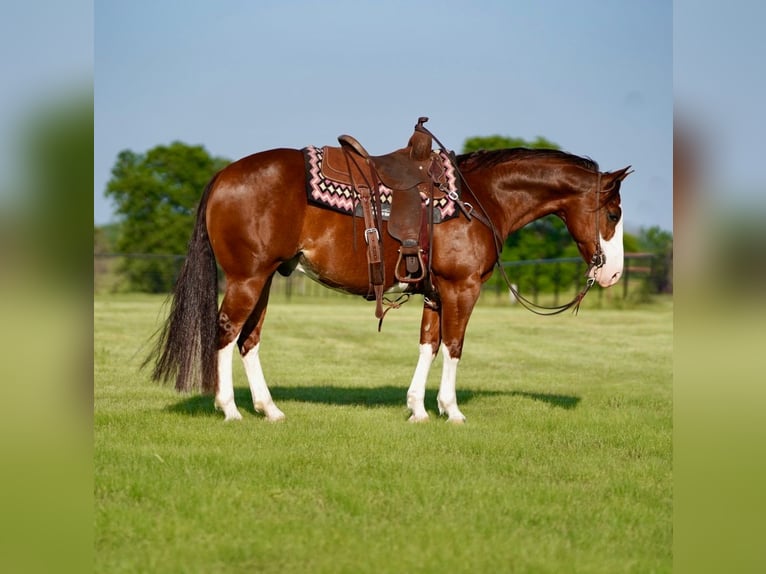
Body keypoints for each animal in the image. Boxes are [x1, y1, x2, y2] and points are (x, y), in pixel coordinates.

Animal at [147, 136, 632, 424]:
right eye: (613, 213)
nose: (612, 272)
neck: (478, 198)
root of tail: (223, 175)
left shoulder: (436, 293)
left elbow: (429, 344)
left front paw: (418, 409)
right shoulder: (462, 288)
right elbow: (454, 346)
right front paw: (452, 410)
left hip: (264, 280)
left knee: (249, 340)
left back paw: (270, 409)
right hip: (247, 279)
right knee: (226, 333)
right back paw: (230, 410)